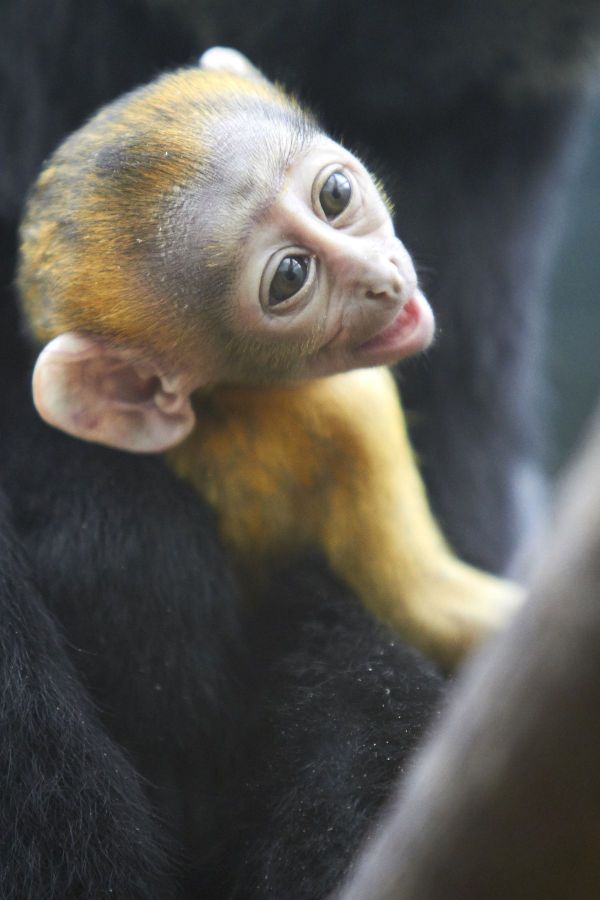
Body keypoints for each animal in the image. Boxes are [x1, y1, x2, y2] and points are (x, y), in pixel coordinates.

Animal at [18, 49, 520, 668]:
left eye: (335, 194)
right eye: (289, 276)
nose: (380, 277)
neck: (234, 400)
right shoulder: (351, 414)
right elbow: (430, 608)